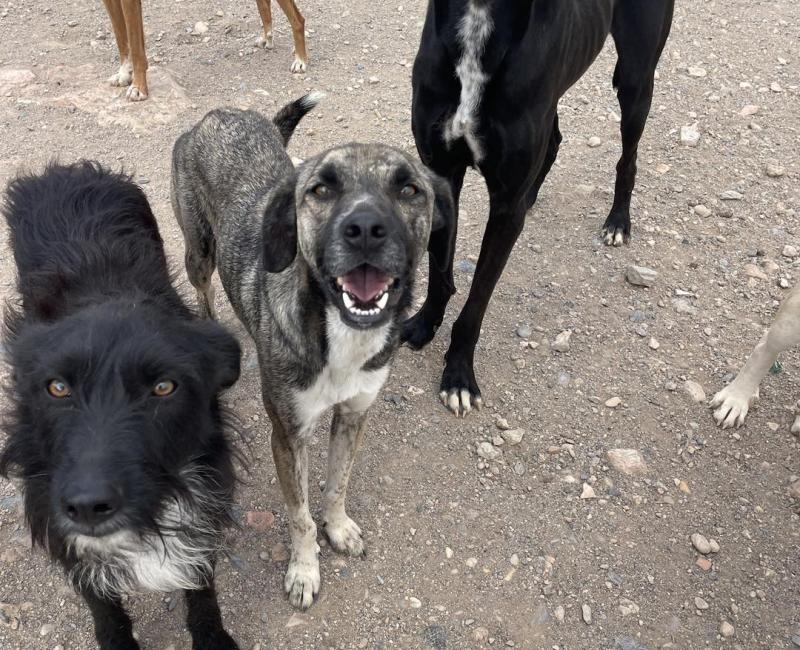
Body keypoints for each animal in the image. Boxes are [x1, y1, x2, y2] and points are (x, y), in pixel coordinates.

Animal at [0, 162, 242, 649]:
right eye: (57, 388)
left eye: (164, 387)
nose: (88, 505)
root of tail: (67, 168)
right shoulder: (53, 515)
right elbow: (101, 602)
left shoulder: (204, 495)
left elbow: (200, 580)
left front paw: (211, 636)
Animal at [102, 0, 309, 101]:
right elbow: (121, 37)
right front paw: (124, 73)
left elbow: (136, 47)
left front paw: (138, 87)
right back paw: (267, 37)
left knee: (298, 20)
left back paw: (300, 60)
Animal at [171, 93, 454, 608]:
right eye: (321, 190)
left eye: (410, 190)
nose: (366, 228)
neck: (339, 334)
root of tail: (218, 115)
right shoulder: (288, 434)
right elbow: (299, 515)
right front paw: (304, 570)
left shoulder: (354, 414)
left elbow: (338, 483)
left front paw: (338, 528)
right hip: (198, 250)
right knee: (203, 290)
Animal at [404, 0, 675, 415]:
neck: (480, 15)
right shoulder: (440, 174)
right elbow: (439, 271)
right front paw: (423, 324)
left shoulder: (504, 206)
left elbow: (477, 301)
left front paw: (459, 374)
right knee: (556, 136)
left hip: (635, 75)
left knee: (627, 157)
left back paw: (618, 220)